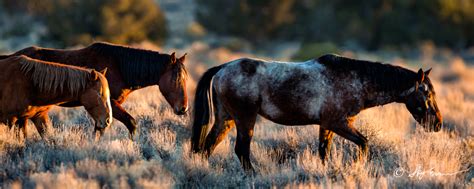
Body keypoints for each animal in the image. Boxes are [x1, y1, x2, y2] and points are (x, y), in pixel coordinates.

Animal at [0, 42, 189, 138]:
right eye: (176, 79)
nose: (183, 108)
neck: (119, 66)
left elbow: (101, 128)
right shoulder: (111, 104)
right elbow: (130, 123)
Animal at [191, 54, 442, 172]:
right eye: (427, 94)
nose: (437, 124)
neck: (355, 80)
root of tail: (222, 68)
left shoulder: (326, 126)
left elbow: (324, 153)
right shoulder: (339, 123)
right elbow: (364, 144)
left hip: (226, 119)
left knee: (207, 147)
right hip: (245, 120)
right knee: (241, 150)